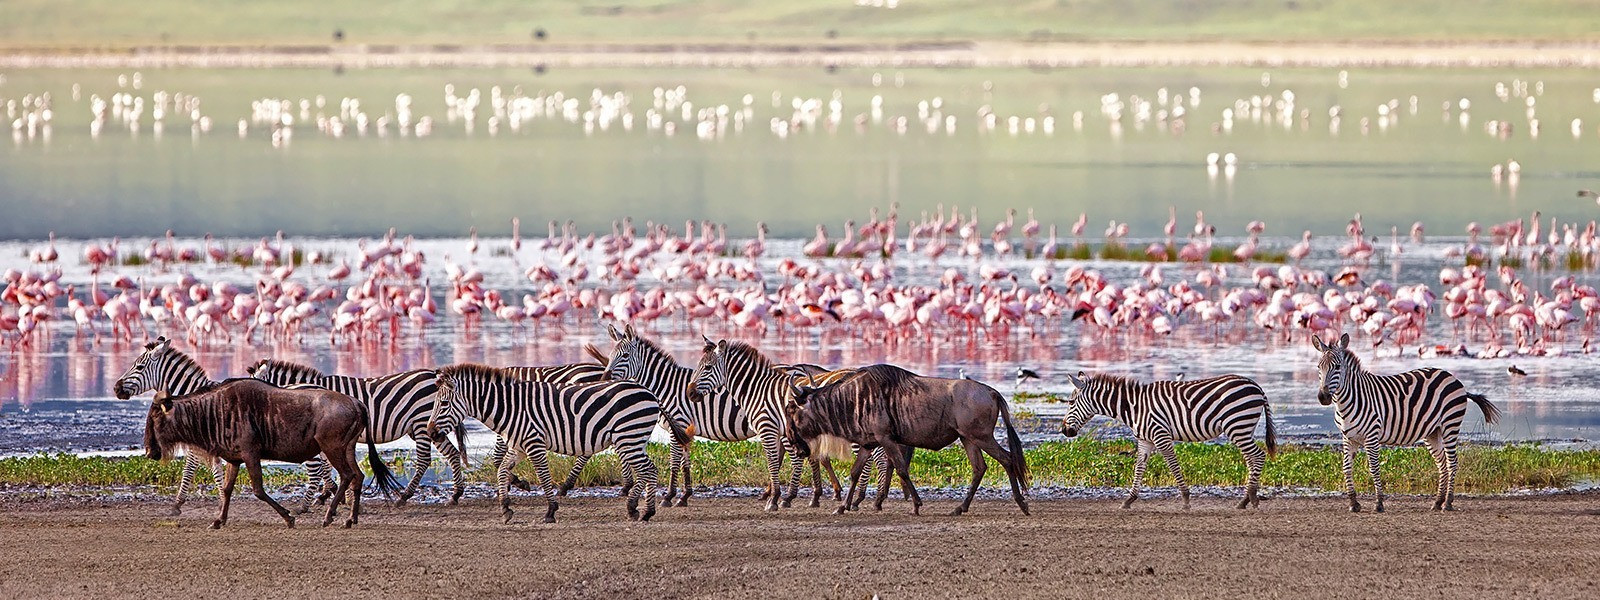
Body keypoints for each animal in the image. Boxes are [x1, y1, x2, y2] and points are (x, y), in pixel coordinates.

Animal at [112, 339, 324, 518]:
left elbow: (191, 470)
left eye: (139, 366)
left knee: (316, 471)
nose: (116, 388)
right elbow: (215, 471)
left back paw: (305, 507)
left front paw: (179, 505)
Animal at [243, 360, 467, 505]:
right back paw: (456, 494)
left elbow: (325, 466)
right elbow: (326, 465)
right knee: (452, 453)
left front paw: (330, 493)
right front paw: (331, 492)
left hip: (421, 423)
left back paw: (405, 496)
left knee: (424, 460)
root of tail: (433, 374)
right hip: (429, 427)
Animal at [422, 364, 665, 524]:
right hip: (633, 440)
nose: (430, 432)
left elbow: (543, 475)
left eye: (444, 403)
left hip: (629, 438)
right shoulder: (518, 447)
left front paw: (550, 511)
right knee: (646, 471)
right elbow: (502, 471)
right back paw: (636, 509)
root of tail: (648, 392)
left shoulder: (534, 443)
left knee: (650, 470)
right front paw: (505, 508)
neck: (511, 407)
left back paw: (645, 511)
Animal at [1062, 371, 1273, 508]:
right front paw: (1129, 500)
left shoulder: (1160, 436)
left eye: (1071, 403)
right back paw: (1246, 500)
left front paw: (1186, 499)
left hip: (1237, 425)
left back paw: (1249, 499)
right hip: (1242, 428)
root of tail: (1256, 386)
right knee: (1251, 459)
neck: (1134, 407)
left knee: (1258, 456)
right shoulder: (1145, 440)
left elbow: (1173, 465)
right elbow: (1139, 468)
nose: (1064, 431)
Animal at [1312, 334, 1497, 512]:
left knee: (1452, 463)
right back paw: (1438, 502)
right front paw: (1353, 503)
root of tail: (1452, 377)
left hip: (1450, 425)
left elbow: (1374, 468)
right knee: (1442, 464)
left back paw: (1448, 503)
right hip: (1432, 432)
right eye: (1319, 367)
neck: (1349, 400)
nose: (1323, 397)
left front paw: (1379, 503)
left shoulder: (1372, 436)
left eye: (1337, 367)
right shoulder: (1348, 438)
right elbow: (1346, 468)